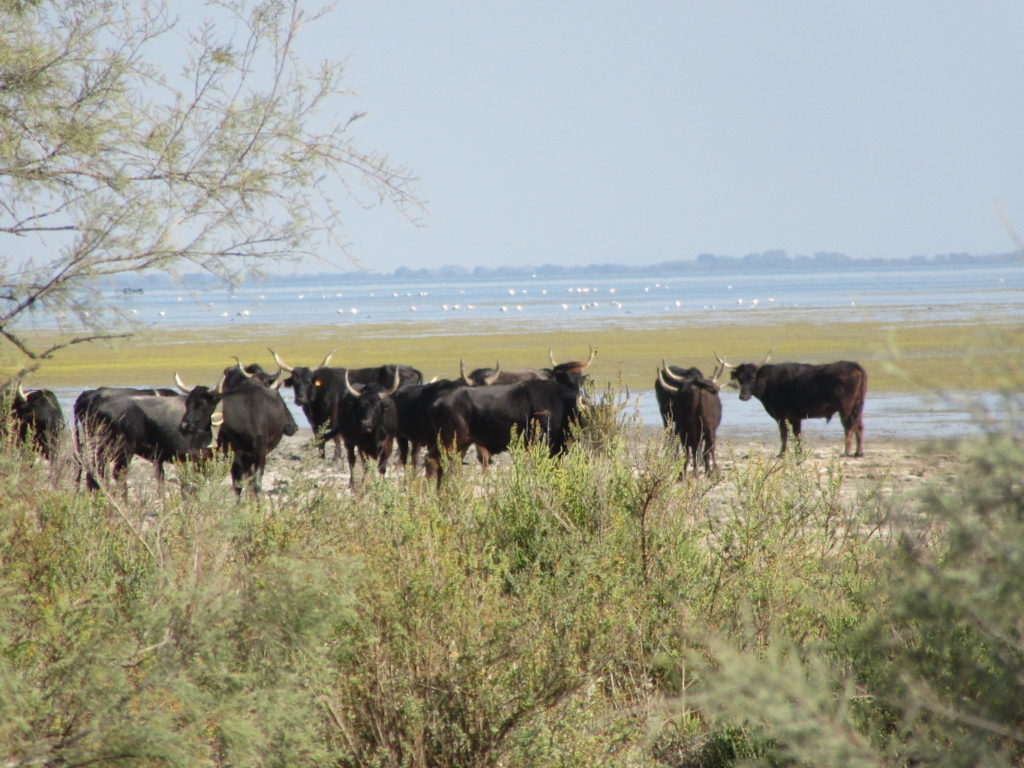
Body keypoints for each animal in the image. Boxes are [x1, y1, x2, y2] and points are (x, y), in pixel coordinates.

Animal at [724, 360, 868, 456]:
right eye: (740, 379)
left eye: (752, 378)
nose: (743, 396)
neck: (770, 381)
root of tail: (852, 365)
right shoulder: (795, 417)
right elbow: (797, 434)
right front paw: (799, 452)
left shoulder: (782, 416)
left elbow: (784, 434)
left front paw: (781, 454)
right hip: (858, 407)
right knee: (859, 425)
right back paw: (858, 452)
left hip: (846, 408)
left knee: (849, 426)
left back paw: (846, 452)